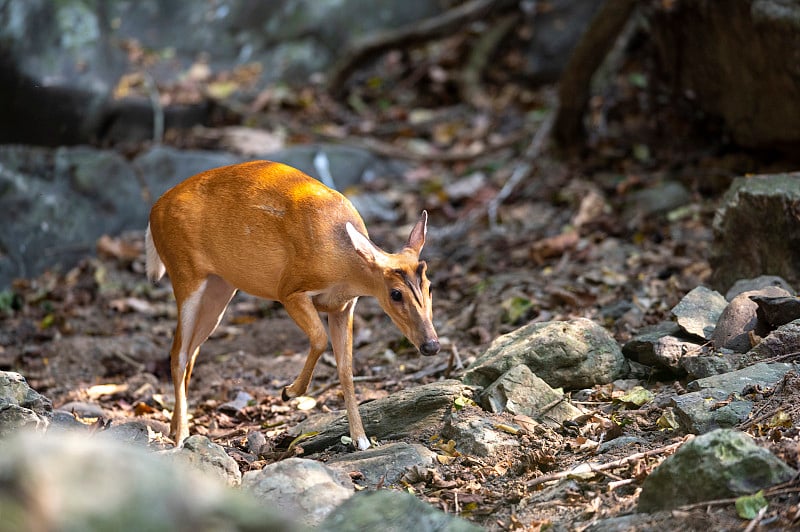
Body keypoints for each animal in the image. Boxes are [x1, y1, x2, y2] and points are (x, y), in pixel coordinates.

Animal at [147, 161, 440, 448]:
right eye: (395, 294)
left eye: (430, 286)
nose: (431, 345)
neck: (344, 265)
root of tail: (153, 211)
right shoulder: (289, 290)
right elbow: (320, 339)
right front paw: (289, 392)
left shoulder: (344, 307)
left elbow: (345, 368)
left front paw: (361, 439)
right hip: (185, 274)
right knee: (178, 353)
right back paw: (181, 437)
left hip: (220, 288)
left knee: (191, 353)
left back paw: (175, 427)